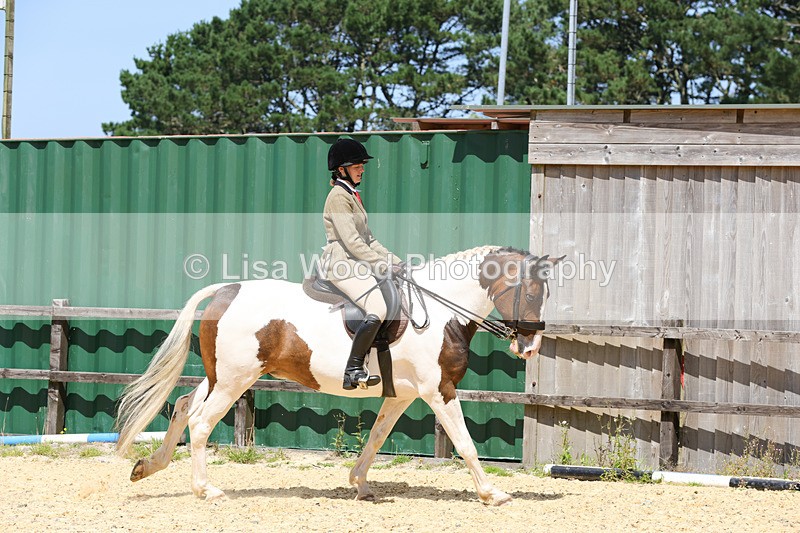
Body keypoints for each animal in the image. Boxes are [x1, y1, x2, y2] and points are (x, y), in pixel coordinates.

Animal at [114, 245, 560, 506]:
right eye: (532, 292)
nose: (530, 347)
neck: (441, 310)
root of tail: (227, 289)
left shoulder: (402, 394)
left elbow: (376, 438)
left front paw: (359, 484)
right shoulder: (440, 390)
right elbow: (465, 444)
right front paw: (492, 493)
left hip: (219, 375)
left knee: (183, 407)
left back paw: (148, 467)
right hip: (234, 379)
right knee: (202, 422)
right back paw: (206, 489)